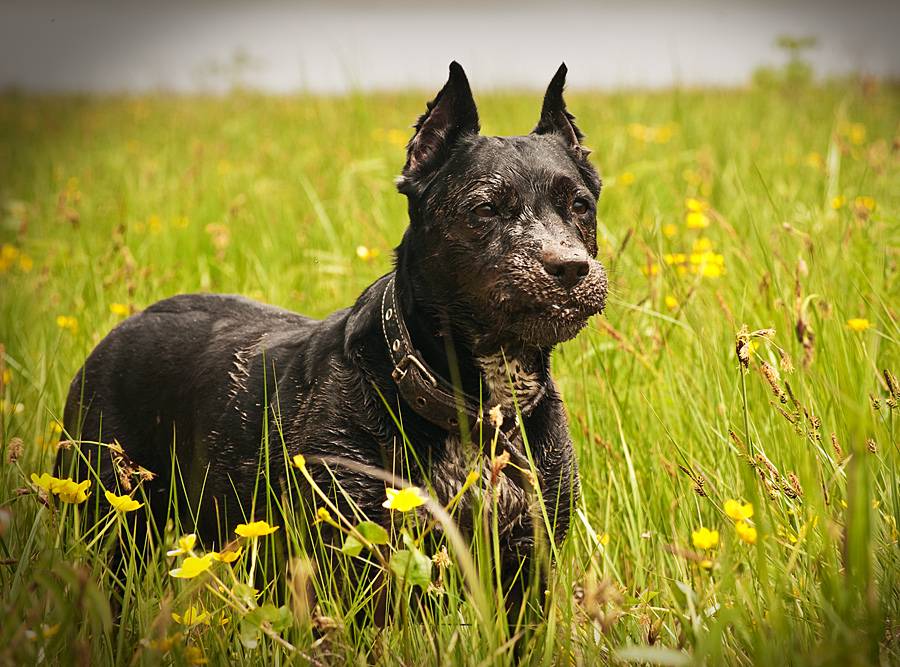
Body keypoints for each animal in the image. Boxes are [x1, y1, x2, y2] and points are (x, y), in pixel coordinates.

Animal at [59, 62, 608, 604]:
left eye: (580, 205)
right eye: (485, 209)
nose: (570, 267)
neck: (477, 403)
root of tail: (122, 327)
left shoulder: (529, 571)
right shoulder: (357, 566)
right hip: (110, 520)